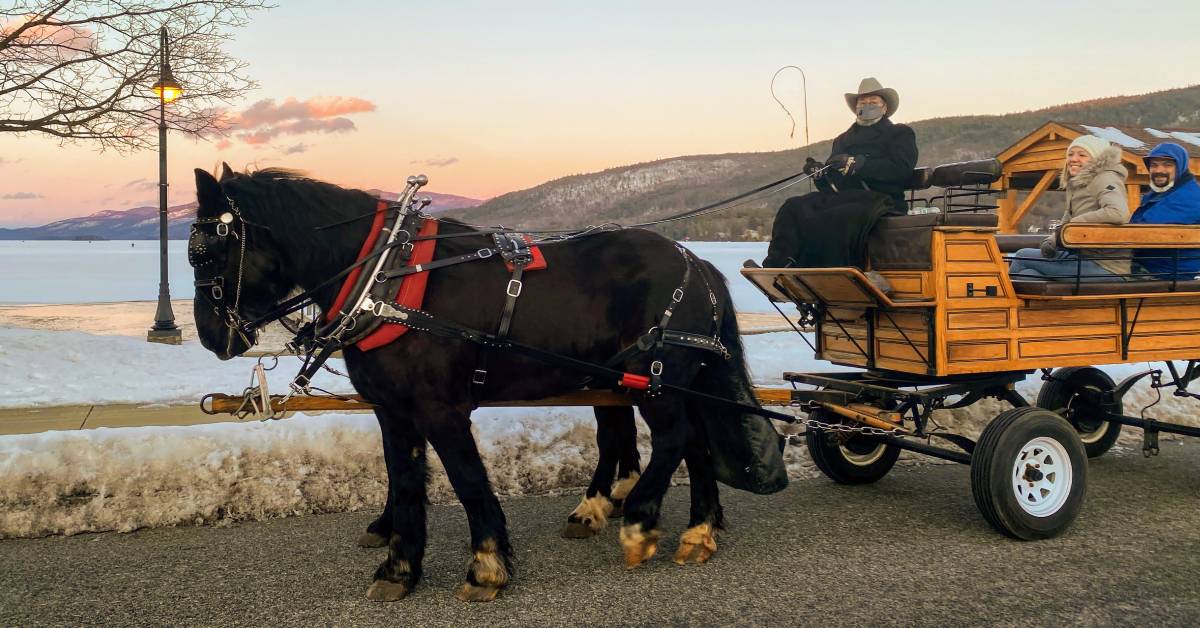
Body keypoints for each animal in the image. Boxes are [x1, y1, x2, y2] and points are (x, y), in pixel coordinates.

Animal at [190, 164, 782, 602]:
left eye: (209, 251)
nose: (210, 335)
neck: (385, 278)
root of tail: (697, 263)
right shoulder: (392, 409)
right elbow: (406, 482)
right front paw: (399, 570)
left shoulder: (440, 408)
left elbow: (468, 480)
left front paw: (488, 567)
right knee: (692, 442)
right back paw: (696, 530)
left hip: (657, 378)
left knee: (675, 438)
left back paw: (638, 522)